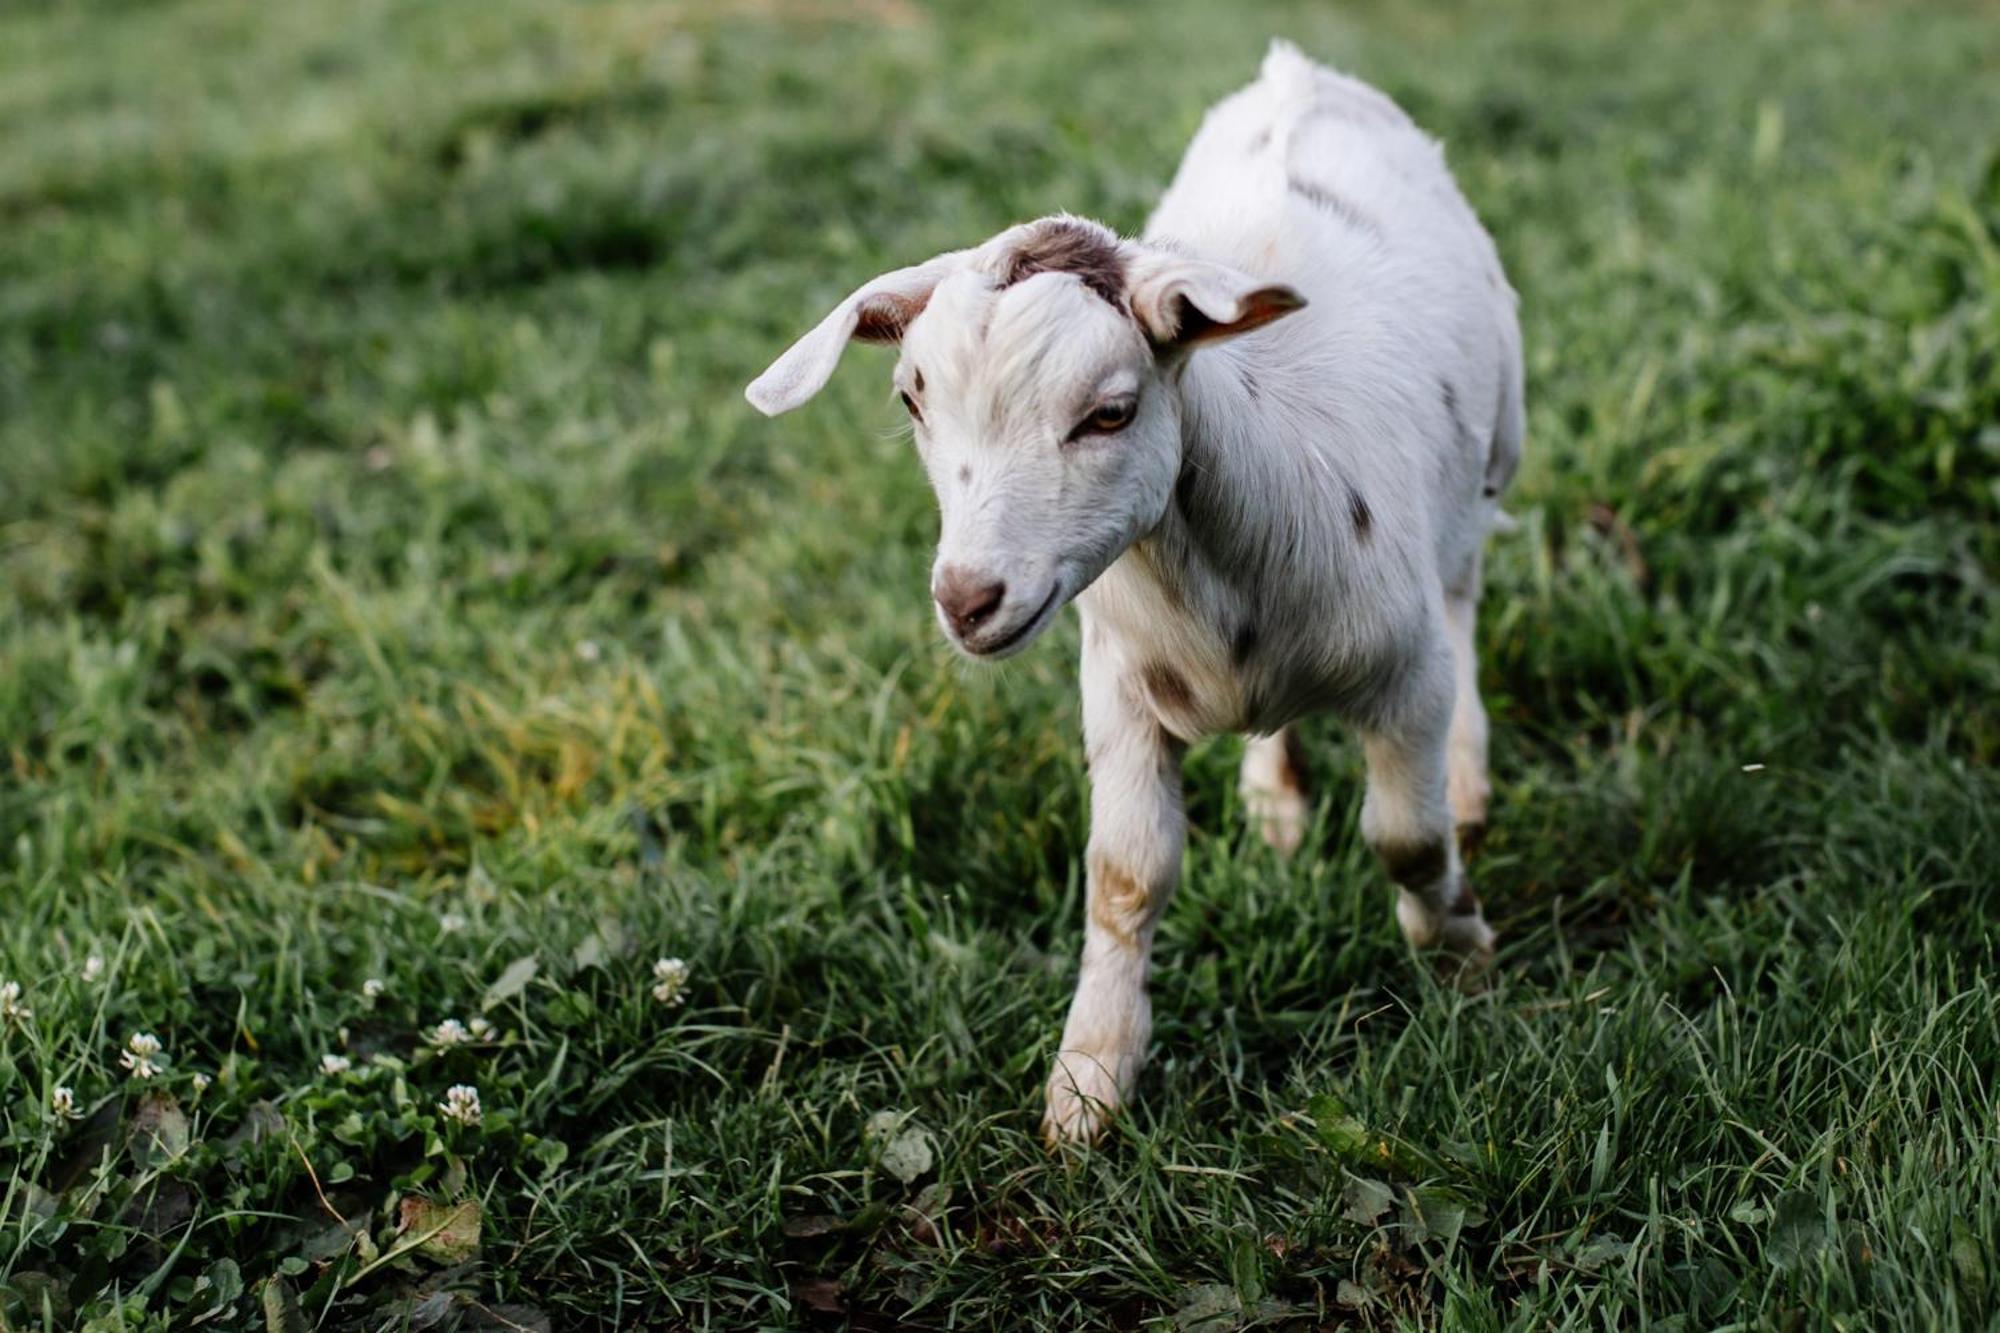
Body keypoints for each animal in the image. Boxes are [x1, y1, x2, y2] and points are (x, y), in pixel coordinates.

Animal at [744, 44, 1520, 1144]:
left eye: (1110, 412)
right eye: (910, 399)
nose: (967, 598)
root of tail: (1295, 71)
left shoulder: (1404, 671)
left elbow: (1406, 840)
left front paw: (1460, 959)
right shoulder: (1115, 688)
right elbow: (1124, 875)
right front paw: (1088, 1082)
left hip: (1496, 454)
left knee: (1465, 599)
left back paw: (1467, 775)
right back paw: (1274, 803)